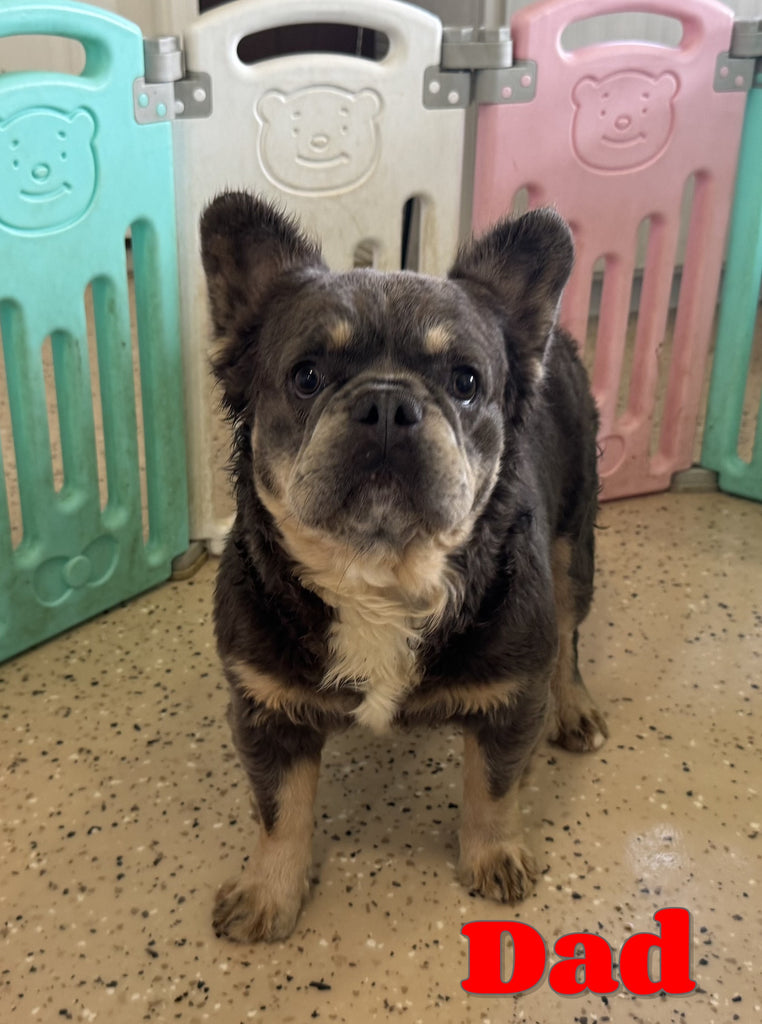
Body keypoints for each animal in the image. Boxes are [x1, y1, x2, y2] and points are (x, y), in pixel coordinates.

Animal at [200, 191, 608, 943]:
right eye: (306, 377)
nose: (388, 403)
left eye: (466, 383)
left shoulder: (512, 697)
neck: (379, 575)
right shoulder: (265, 712)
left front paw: (493, 853)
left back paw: (576, 708)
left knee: (567, 636)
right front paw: (269, 891)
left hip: (575, 547)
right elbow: (279, 810)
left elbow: (493, 786)